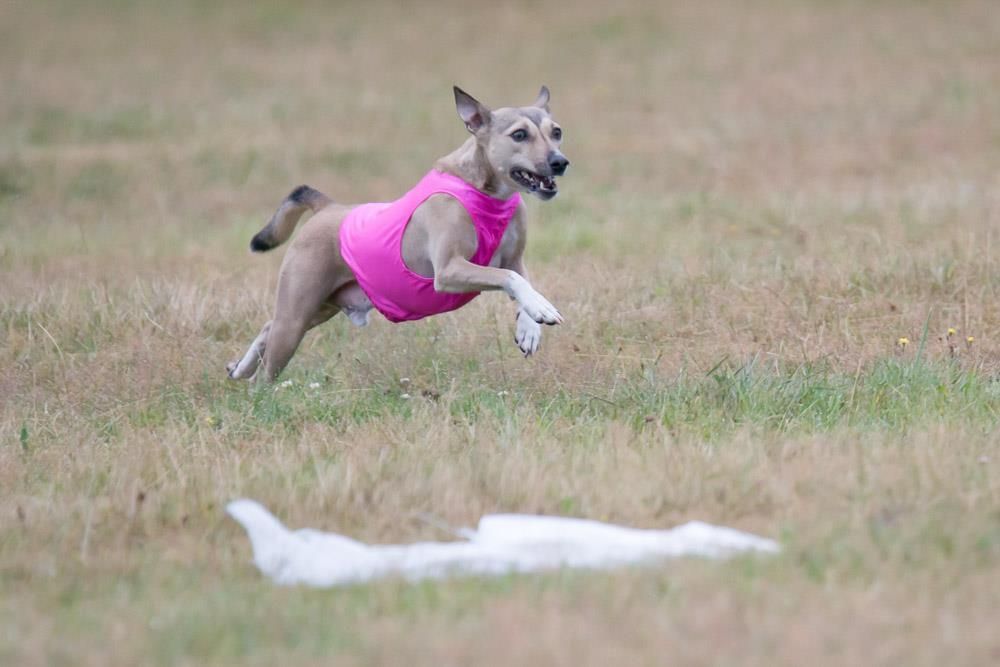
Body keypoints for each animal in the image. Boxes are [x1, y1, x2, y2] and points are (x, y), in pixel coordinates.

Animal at [229, 86, 572, 384]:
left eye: (556, 132)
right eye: (519, 134)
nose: (559, 162)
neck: (485, 192)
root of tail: (328, 207)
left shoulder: (514, 258)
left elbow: (522, 279)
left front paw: (530, 326)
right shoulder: (449, 270)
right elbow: (509, 278)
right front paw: (541, 309)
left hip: (319, 307)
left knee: (268, 327)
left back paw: (239, 367)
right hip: (296, 316)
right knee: (267, 366)